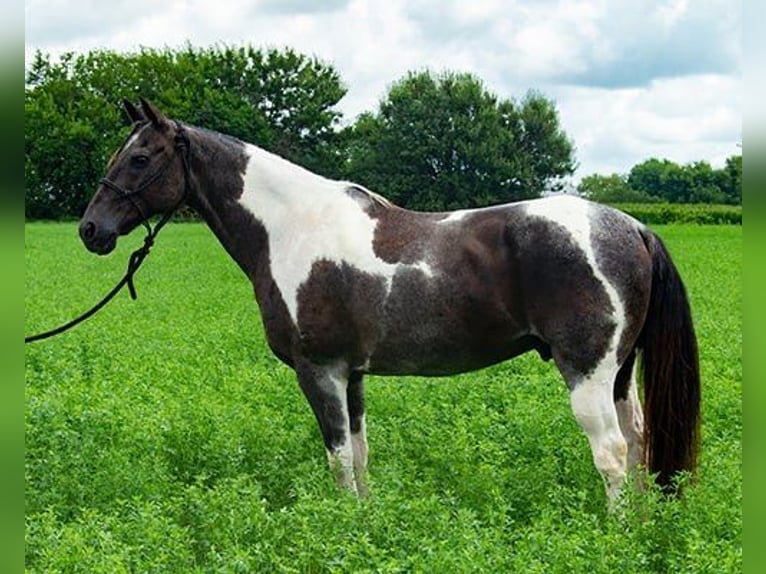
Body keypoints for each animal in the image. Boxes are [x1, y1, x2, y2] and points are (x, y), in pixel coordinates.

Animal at [79, 98, 700, 503]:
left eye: (139, 159)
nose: (91, 230)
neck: (291, 225)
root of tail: (632, 226)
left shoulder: (319, 371)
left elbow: (337, 461)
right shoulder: (351, 374)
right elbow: (359, 455)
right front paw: (366, 525)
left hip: (587, 373)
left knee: (612, 453)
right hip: (619, 374)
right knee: (640, 446)